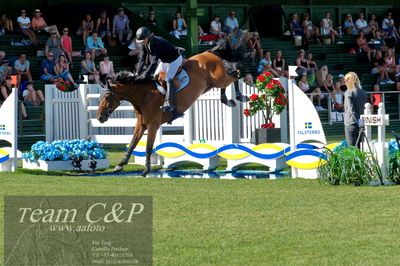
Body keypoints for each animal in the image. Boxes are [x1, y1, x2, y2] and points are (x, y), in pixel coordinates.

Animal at [97, 42, 250, 176]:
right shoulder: (141, 124)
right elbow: (133, 144)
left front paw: (145, 170)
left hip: (218, 78)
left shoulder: (153, 125)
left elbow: (148, 147)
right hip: (211, 84)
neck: (144, 96)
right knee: (228, 80)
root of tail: (209, 52)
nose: (99, 117)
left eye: (107, 97)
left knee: (235, 74)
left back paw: (240, 96)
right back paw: (226, 99)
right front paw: (120, 165)